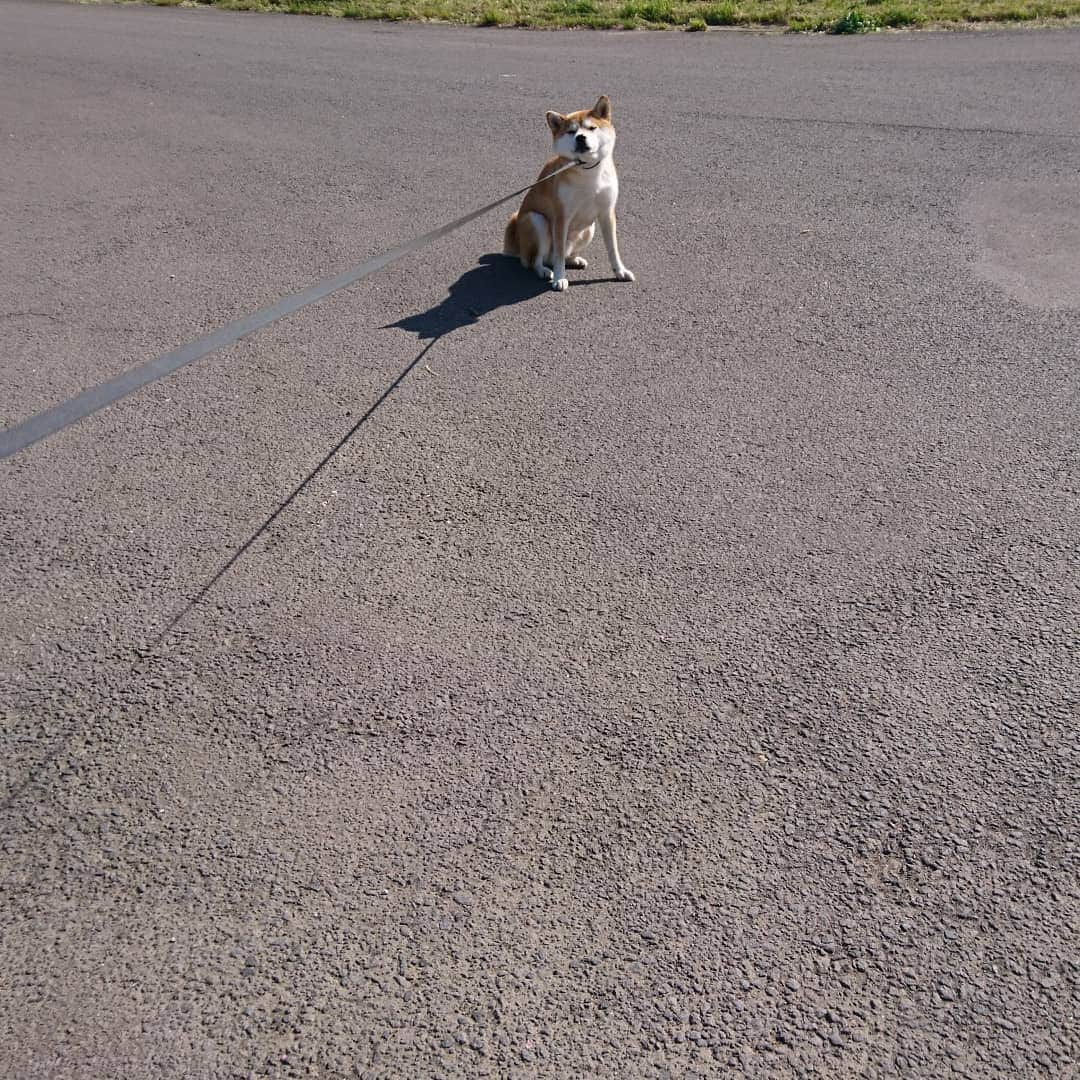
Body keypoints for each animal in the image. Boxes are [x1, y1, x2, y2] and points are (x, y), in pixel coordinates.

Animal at [503, 94, 630, 291]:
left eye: (591, 128)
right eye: (571, 131)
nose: (581, 137)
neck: (588, 171)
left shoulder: (606, 213)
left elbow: (613, 248)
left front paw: (620, 271)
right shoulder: (561, 217)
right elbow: (559, 254)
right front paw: (560, 278)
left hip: (589, 228)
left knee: (562, 255)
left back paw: (574, 260)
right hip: (537, 220)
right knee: (537, 260)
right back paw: (545, 270)